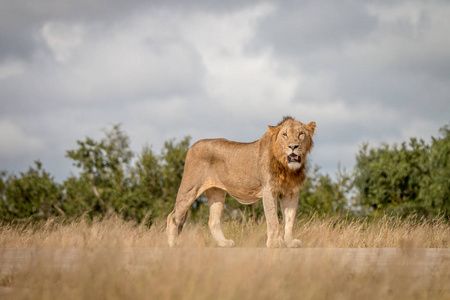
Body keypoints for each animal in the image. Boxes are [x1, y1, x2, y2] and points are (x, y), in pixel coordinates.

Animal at [166, 116, 316, 247]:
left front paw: (290, 242)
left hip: (216, 193)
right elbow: (273, 218)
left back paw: (224, 243)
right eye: (284, 135)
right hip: (190, 188)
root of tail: (192, 146)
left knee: (213, 221)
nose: (293, 146)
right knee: (173, 216)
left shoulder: (291, 192)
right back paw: (173, 243)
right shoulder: (269, 190)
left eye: (301, 134)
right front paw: (275, 243)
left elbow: (290, 220)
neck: (287, 168)